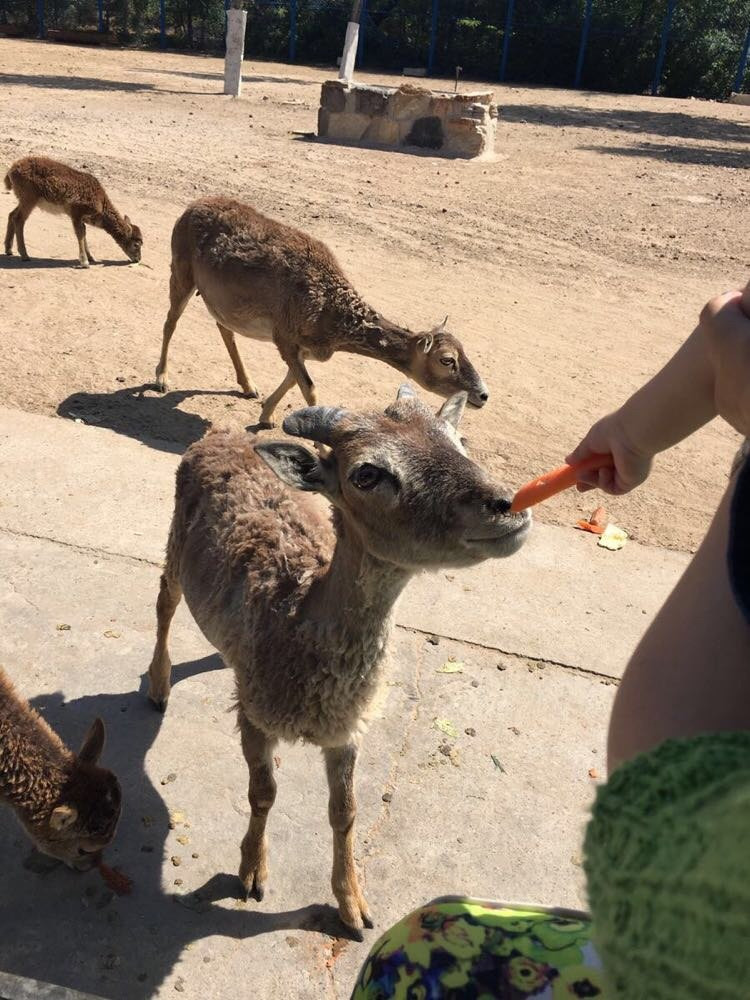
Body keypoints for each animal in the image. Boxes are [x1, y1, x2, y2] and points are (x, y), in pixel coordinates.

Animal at [4, 155, 144, 268]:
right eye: (136, 244)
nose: (138, 259)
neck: (101, 206)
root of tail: (11, 170)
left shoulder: (82, 218)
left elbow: (84, 232)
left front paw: (91, 258)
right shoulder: (76, 212)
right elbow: (80, 234)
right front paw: (84, 262)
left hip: (25, 199)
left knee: (12, 214)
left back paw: (8, 250)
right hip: (29, 197)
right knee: (19, 219)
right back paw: (25, 255)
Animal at [147, 382, 532, 936]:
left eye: (460, 440)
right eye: (366, 473)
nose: (507, 505)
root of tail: (221, 431)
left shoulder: (348, 730)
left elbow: (345, 811)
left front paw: (354, 908)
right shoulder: (255, 717)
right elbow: (263, 792)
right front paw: (251, 874)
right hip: (176, 541)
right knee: (164, 601)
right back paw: (158, 687)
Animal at [156, 198, 490, 426]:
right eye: (447, 360)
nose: (482, 395)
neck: (330, 314)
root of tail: (189, 209)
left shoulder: (302, 347)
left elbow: (294, 380)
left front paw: (266, 415)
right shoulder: (285, 335)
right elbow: (310, 389)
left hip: (220, 300)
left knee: (224, 328)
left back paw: (249, 386)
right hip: (181, 272)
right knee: (170, 320)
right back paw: (161, 378)